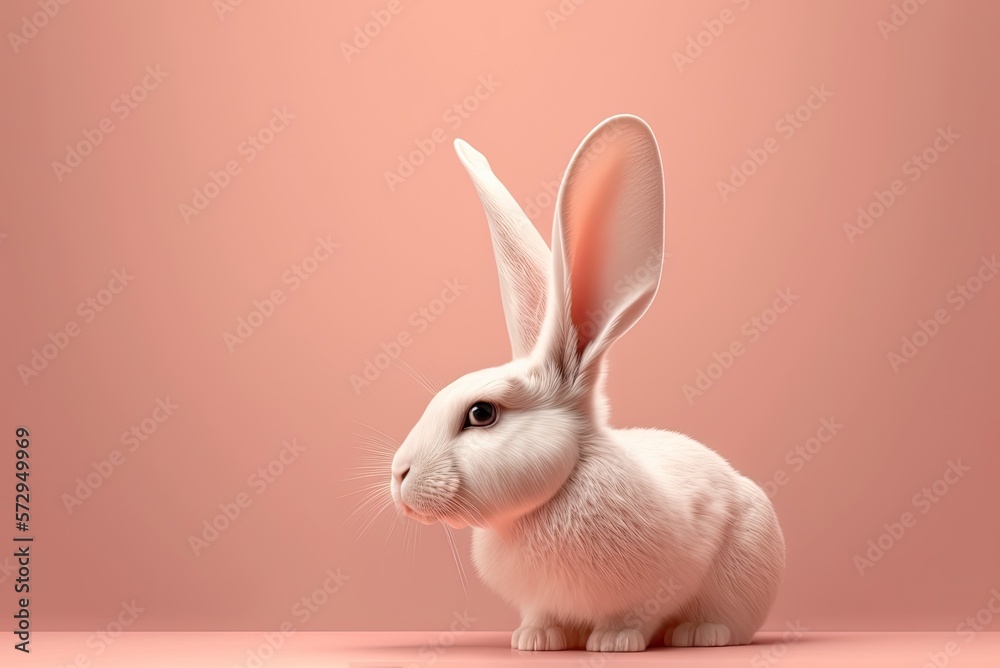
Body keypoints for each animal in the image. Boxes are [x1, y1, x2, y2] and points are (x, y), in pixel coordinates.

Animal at [389, 114, 785, 652]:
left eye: (481, 413)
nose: (399, 475)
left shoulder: (663, 581)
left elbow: (635, 614)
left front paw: (614, 642)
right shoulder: (540, 598)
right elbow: (542, 615)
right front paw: (534, 640)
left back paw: (700, 633)